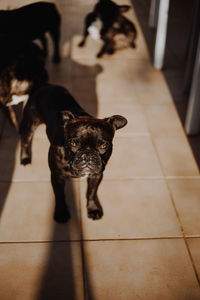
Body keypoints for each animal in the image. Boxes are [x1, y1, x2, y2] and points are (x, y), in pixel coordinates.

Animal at [19, 84, 126, 223]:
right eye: (73, 143)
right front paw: (61, 213)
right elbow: (59, 196)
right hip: (30, 123)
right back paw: (25, 158)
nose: (88, 155)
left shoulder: (96, 175)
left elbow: (91, 192)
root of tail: (46, 85)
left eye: (103, 145)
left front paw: (93, 208)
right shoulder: (57, 176)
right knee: (25, 139)